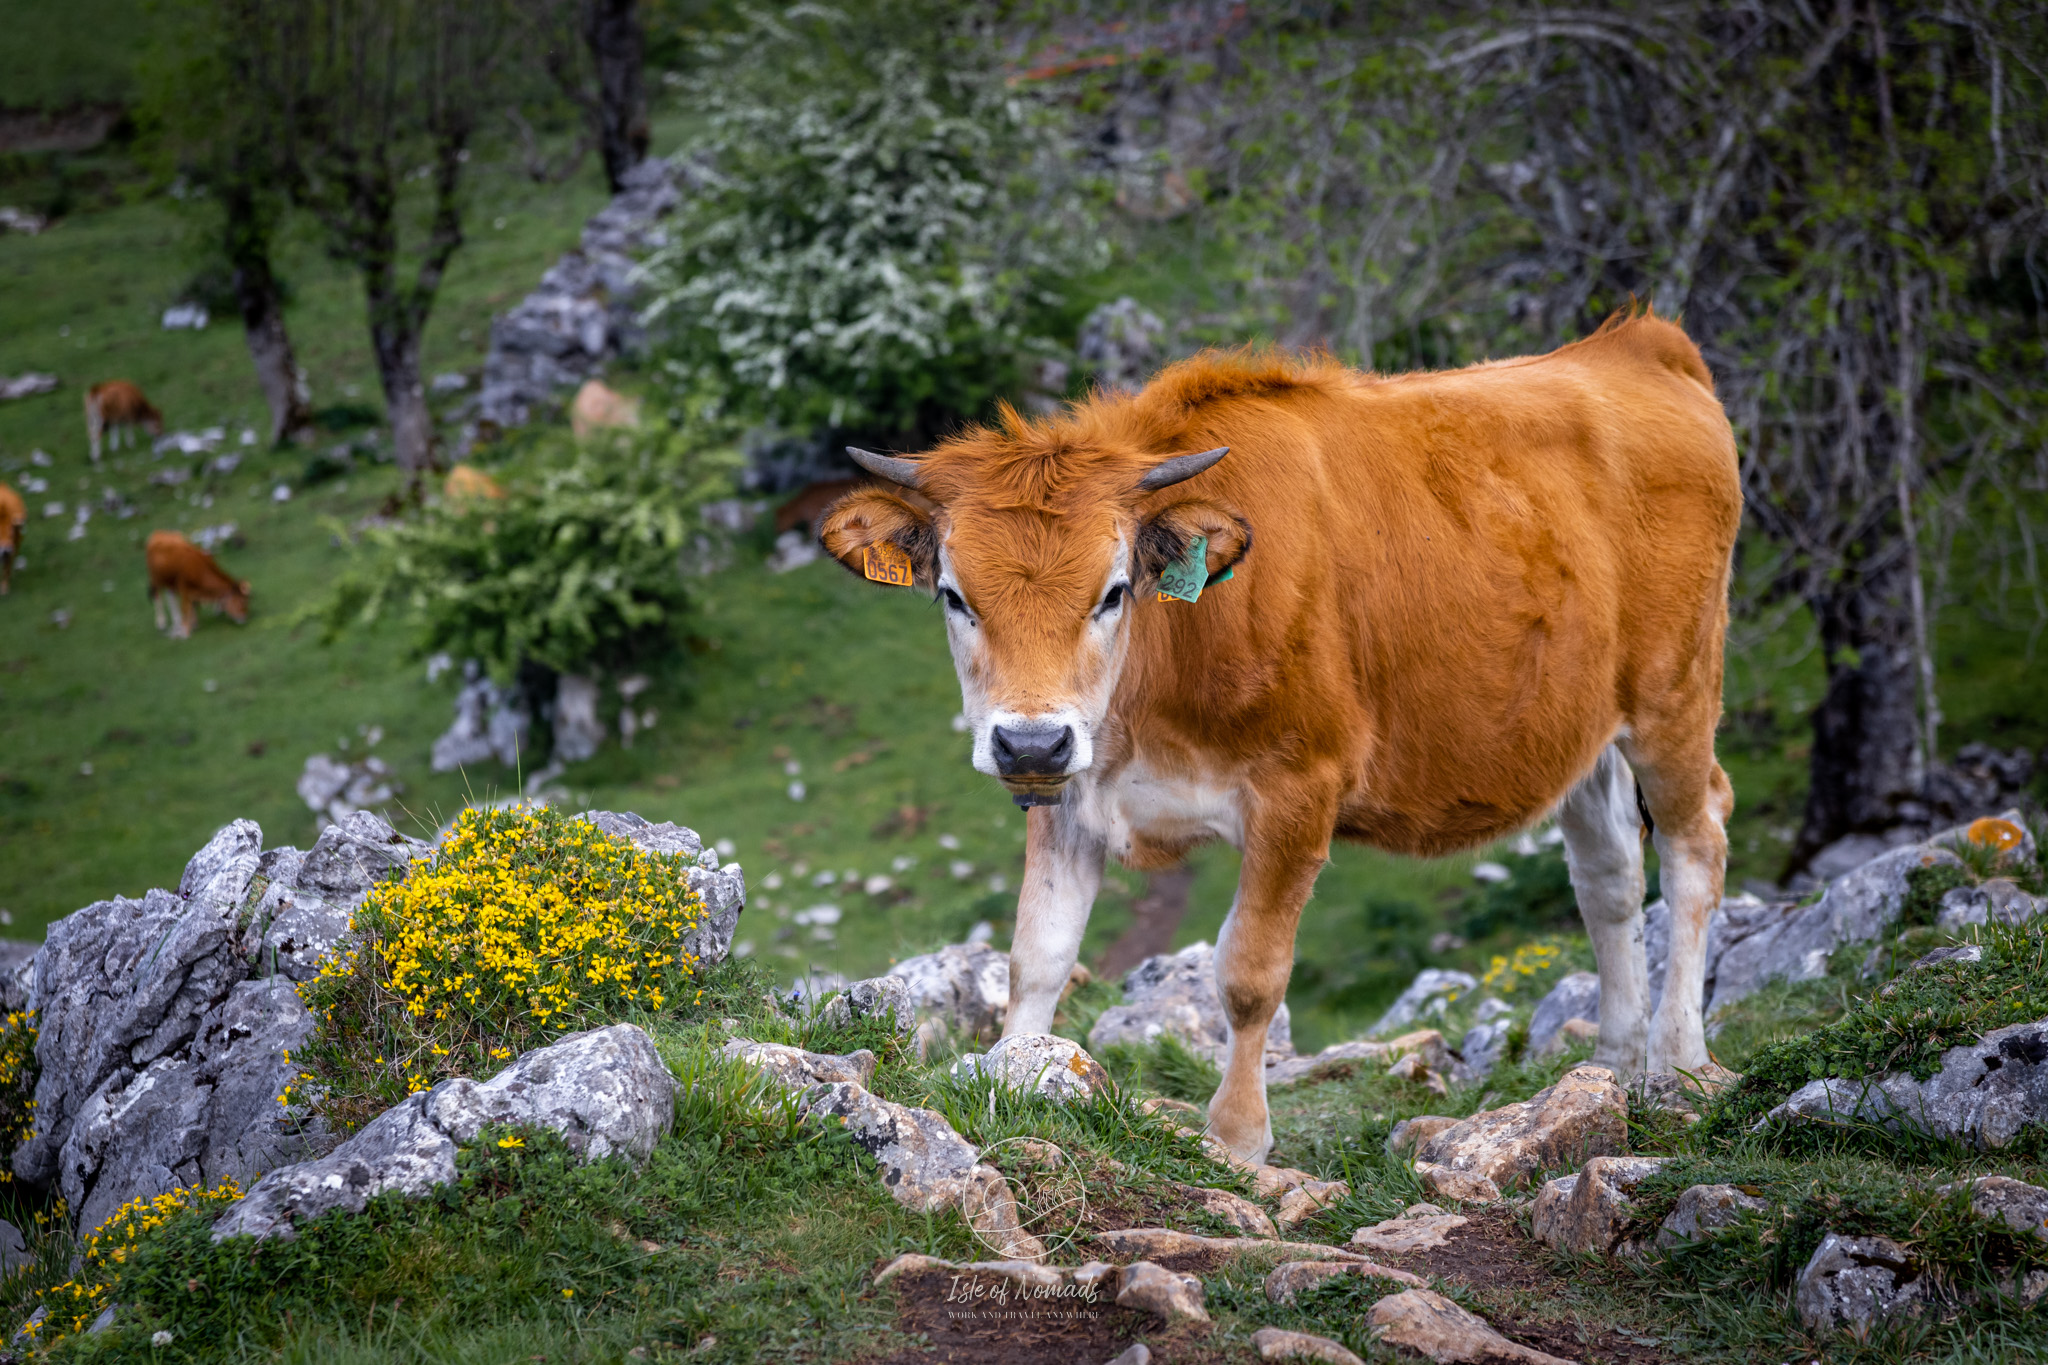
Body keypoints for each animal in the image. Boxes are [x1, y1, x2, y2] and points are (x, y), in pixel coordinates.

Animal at [827, 313, 1744, 1162]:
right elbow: (1038, 954)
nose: (1029, 743)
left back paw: (1676, 1060)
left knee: (1695, 845)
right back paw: (1611, 1063)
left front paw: (1236, 1135)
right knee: (1609, 875)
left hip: (1675, 696)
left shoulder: (1298, 791)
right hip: (1580, 729)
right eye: (954, 594)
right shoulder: (1072, 794)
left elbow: (1248, 975)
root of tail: (1635, 343)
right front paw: (1016, 1077)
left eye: (1113, 591)